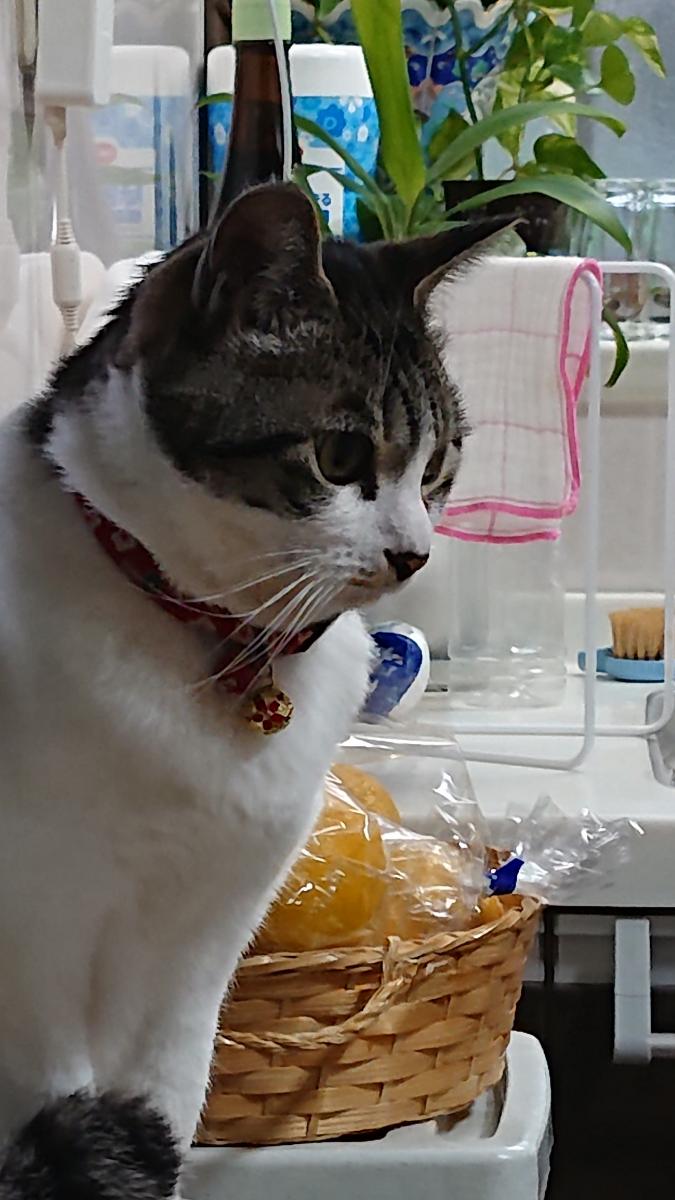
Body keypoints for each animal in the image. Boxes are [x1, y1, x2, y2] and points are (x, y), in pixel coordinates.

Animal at [0, 180, 495, 1186]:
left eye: (437, 465)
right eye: (339, 457)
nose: (415, 555)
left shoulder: (199, 947)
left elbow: (168, 1091)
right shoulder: (32, 933)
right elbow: (57, 1092)